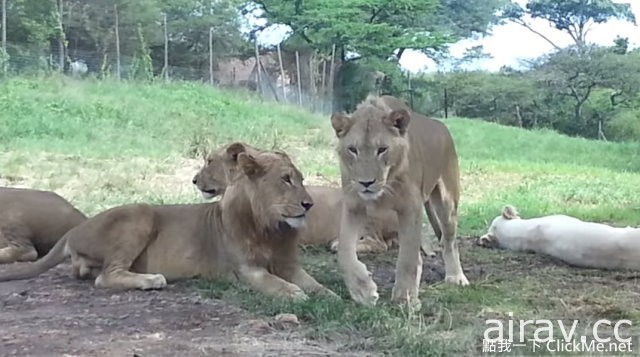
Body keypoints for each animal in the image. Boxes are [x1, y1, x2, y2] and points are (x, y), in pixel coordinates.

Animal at [0, 151, 338, 300]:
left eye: (302, 180)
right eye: (286, 180)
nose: (309, 204)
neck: (271, 228)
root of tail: (73, 231)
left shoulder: (290, 264)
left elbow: (316, 284)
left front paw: (333, 297)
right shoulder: (246, 270)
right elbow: (276, 283)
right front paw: (295, 294)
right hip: (140, 214)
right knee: (106, 277)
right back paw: (151, 280)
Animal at [332, 94, 468, 306]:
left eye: (382, 149)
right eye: (352, 149)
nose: (366, 183)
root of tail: (441, 126)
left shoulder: (410, 207)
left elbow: (408, 258)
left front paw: (405, 297)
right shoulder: (353, 206)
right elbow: (344, 252)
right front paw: (363, 291)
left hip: (447, 201)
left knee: (449, 241)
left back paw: (456, 276)